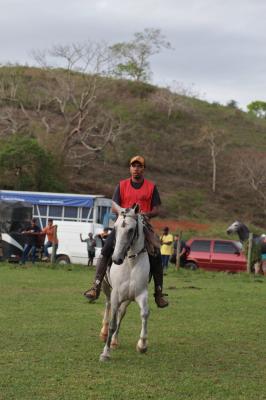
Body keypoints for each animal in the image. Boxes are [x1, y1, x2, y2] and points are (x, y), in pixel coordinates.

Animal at [99, 205, 150, 360]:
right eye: (115, 228)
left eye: (131, 230)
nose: (116, 259)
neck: (131, 263)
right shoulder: (116, 295)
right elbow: (112, 324)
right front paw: (105, 353)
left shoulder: (141, 294)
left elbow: (145, 314)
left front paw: (142, 345)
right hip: (106, 288)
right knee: (108, 305)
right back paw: (103, 333)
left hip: (127, 298)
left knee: (121, 314)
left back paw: (114, 341)